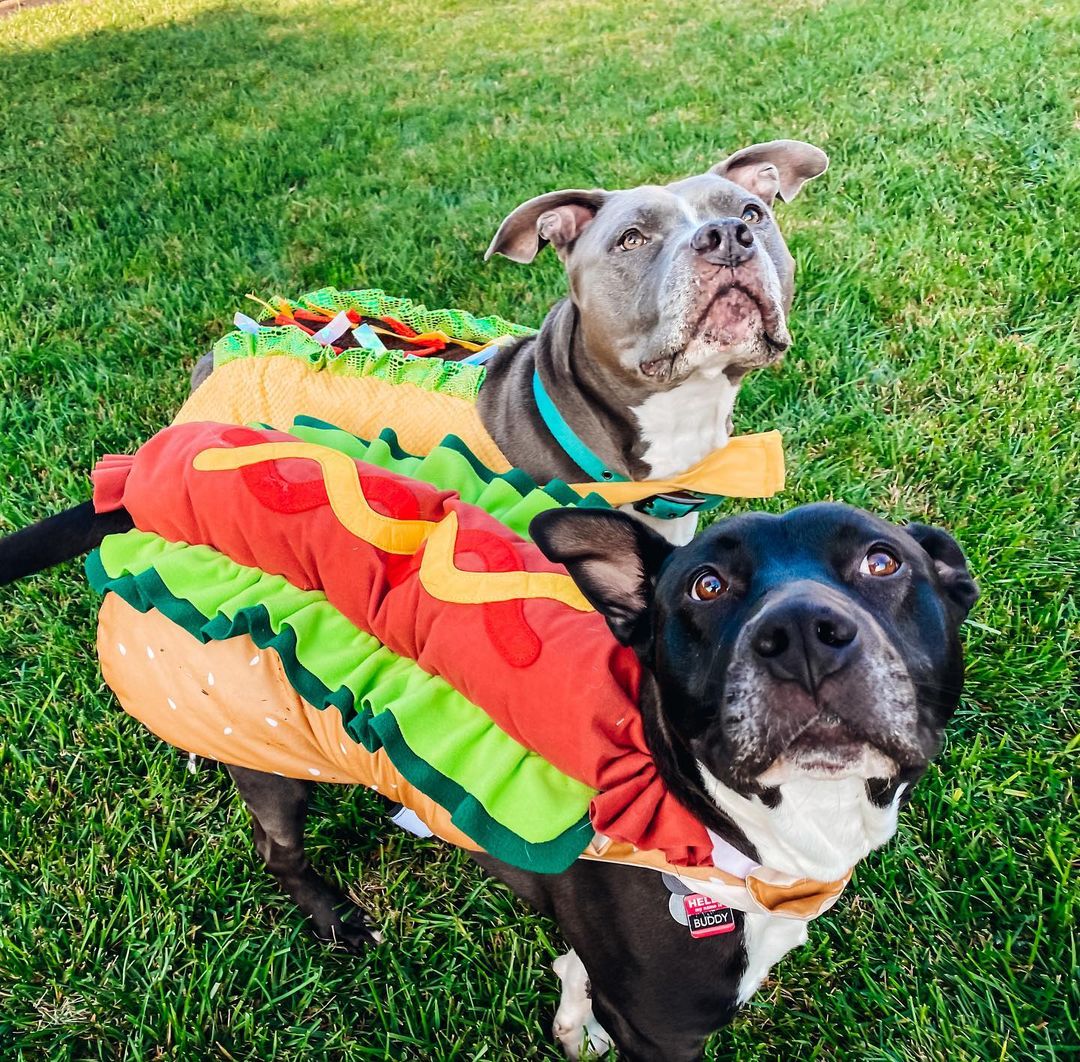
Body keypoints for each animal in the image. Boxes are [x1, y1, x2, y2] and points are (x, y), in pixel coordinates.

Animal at [0, 501, 980, 1062]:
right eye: (704, 586)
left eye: (884, 562)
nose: (803, 631)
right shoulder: (666, 1034)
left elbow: (576, 970)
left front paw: (573, 1023)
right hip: (276, 760)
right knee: (279, 851)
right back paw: (335, 918)